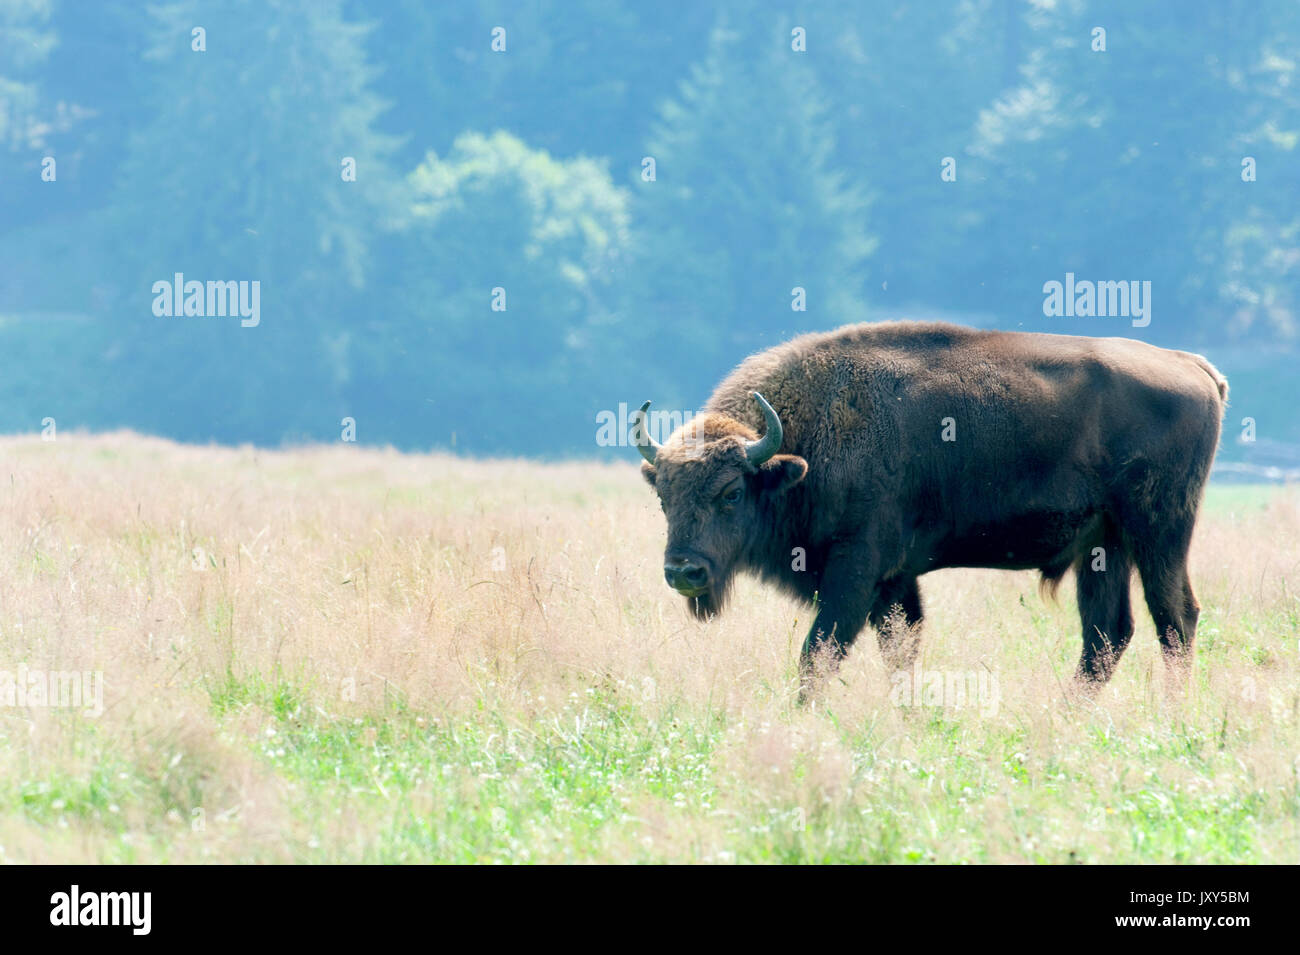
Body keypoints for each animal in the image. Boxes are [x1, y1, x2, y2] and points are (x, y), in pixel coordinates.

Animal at [634, 324, 1222, 691]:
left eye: (732, 493)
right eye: (663, 496)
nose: (683, 572)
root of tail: (1193, 365)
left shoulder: (856, 571)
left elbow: (818, 654)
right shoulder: (895, 583)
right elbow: (900, 651)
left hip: (1159, 532)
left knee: (1175, 619)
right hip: (1103, 546)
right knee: (1107, 634)